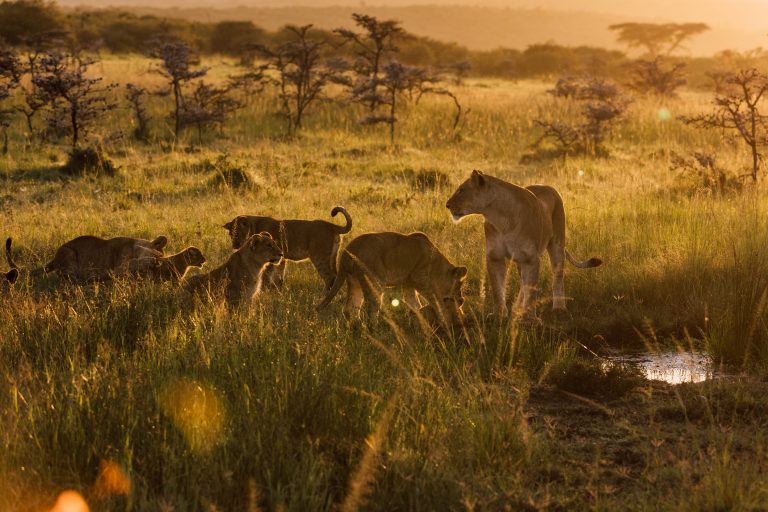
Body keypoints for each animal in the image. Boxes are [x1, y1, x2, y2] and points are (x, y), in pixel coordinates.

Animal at [222, 207, 354, 288]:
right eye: (230, 234)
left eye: (237, 233)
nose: (234, 246)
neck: (253, 226)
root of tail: (332, 225)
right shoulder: (281, 258)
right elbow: (279, 277)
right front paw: (277, 292)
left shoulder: (270, 258)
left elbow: (267, 277)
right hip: (332, 256)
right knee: (336, 277)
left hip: (319, 257)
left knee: (329, 277)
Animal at [316, 230, 464, 326]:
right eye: (459, 286)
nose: (462, 300)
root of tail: (348, 251)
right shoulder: (420, 279)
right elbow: (435, 300)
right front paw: (445, 320)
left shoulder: (408, 283)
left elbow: (414, 303)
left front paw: (417, 320)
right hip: (374, 282)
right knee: (371, 309)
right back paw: (374, 330)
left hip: (354, 282)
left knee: (349, 308)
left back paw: (356, 326)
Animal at [444, 170, 600, 318]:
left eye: (461, 190)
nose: (447, 205)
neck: (499, 218)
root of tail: (547, 186)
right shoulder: (495, 256)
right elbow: (497, 287)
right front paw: (499, 314)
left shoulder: (531, 258)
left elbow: (530, 288)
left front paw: (528, 318)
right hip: (520, 260)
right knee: (522, 282)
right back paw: (517, 308)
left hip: (557, 244)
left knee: (557, 276)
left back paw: (559, 308)